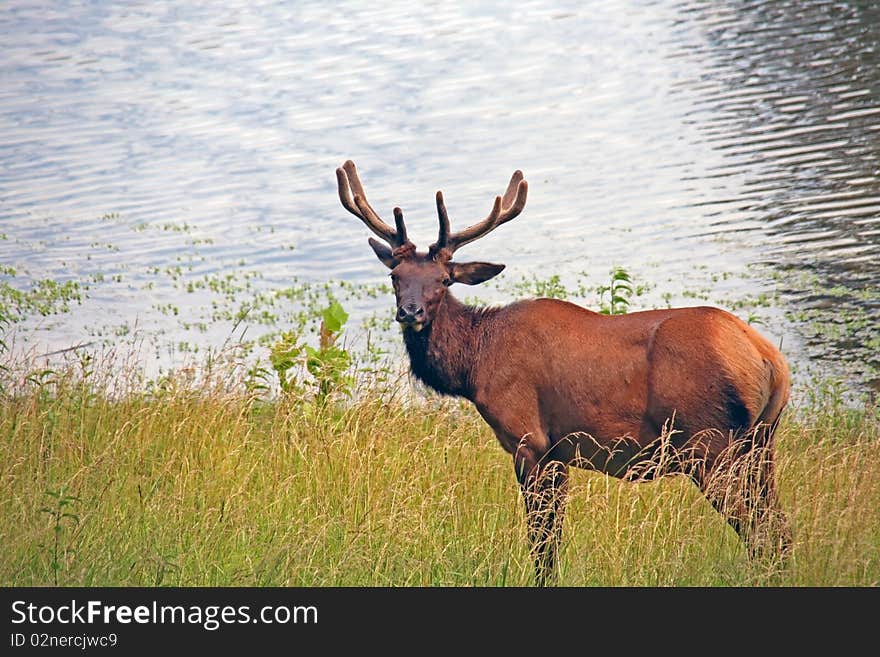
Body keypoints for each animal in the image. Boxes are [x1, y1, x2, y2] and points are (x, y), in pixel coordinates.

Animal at [336, 160, 792, 584]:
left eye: (444, 279)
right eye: (395, 276)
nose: (410, 312)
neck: (475, 365)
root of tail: (770, 361)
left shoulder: (530, 440)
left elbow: (543, 544)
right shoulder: (558, 452)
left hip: (711, 445)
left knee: (760, 532)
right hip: (759, 443)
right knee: (779, 530)